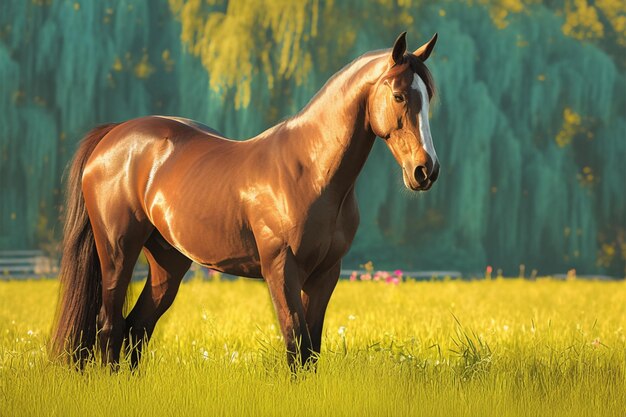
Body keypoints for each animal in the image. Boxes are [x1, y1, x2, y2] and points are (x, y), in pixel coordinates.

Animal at [50, 33, 438, 370]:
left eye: (428, 97)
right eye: (400, 96)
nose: (426, 170)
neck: (309, 171)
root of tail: (112, 136)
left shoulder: (326, 273)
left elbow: (311, 349)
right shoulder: (281, 269)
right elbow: (295, 343)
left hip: (168, 261)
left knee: (136, 328)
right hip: (117, 252)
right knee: (110, 326)